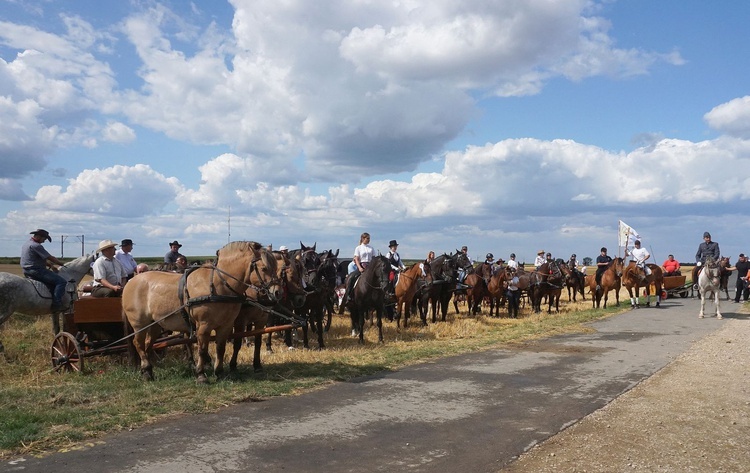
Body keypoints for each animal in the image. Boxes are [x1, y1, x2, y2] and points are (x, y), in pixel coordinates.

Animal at [123, 242, 282, 382]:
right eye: (264, 268)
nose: (277, 292)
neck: (218, 285)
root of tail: (131, 281)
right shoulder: (204, 326)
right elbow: (202, 349)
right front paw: (201, 374)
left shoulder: (226, 325)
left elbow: (220, 348)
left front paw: (220, 373)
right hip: (140, 324)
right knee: (138, 343)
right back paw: (147, 371)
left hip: (155, 324)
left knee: (147, 344)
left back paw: (149, 369)